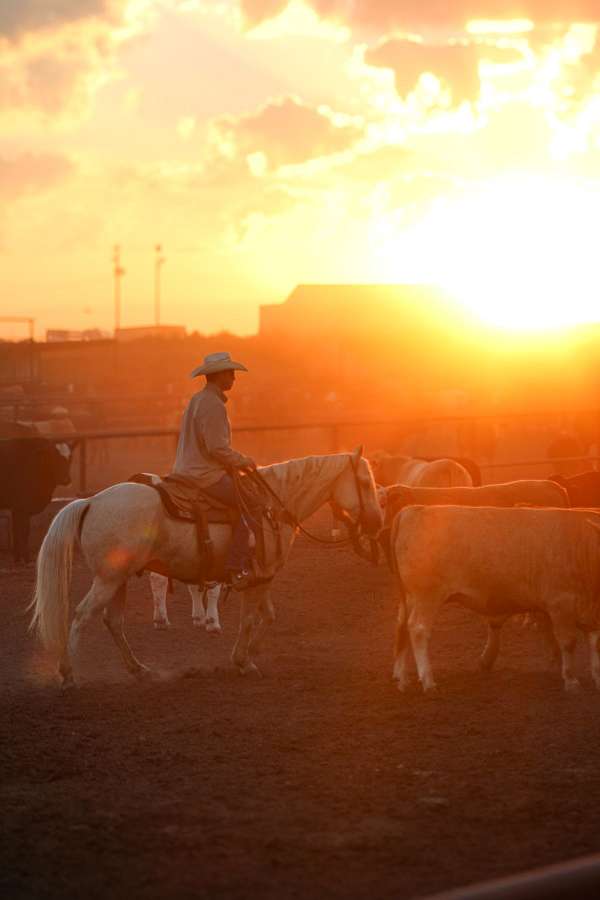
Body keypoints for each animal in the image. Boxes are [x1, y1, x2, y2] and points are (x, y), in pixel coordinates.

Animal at [30, 450, 380, 688]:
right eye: (365, 482)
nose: (376, 521)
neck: (273, 506)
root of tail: (91, 501)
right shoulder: (259, 577)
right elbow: (250, 618)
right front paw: (243, 661)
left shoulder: (264, 576)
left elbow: (267, 615)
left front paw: (251, 652)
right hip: (108, 580)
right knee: (81, 616)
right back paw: (69, 673)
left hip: (119, 579)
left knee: (113, 621)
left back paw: (139, 669)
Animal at [392, 510, 600, 692]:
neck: (581, 544)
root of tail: (410, 510)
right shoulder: (560, 605)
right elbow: (568, 642)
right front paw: (571, 681)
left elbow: (595, 643)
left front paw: (597, 679)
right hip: (427, 596)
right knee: (418, 629)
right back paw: (428, 681)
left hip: (409, 597)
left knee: (401, 627)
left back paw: (402, 678)